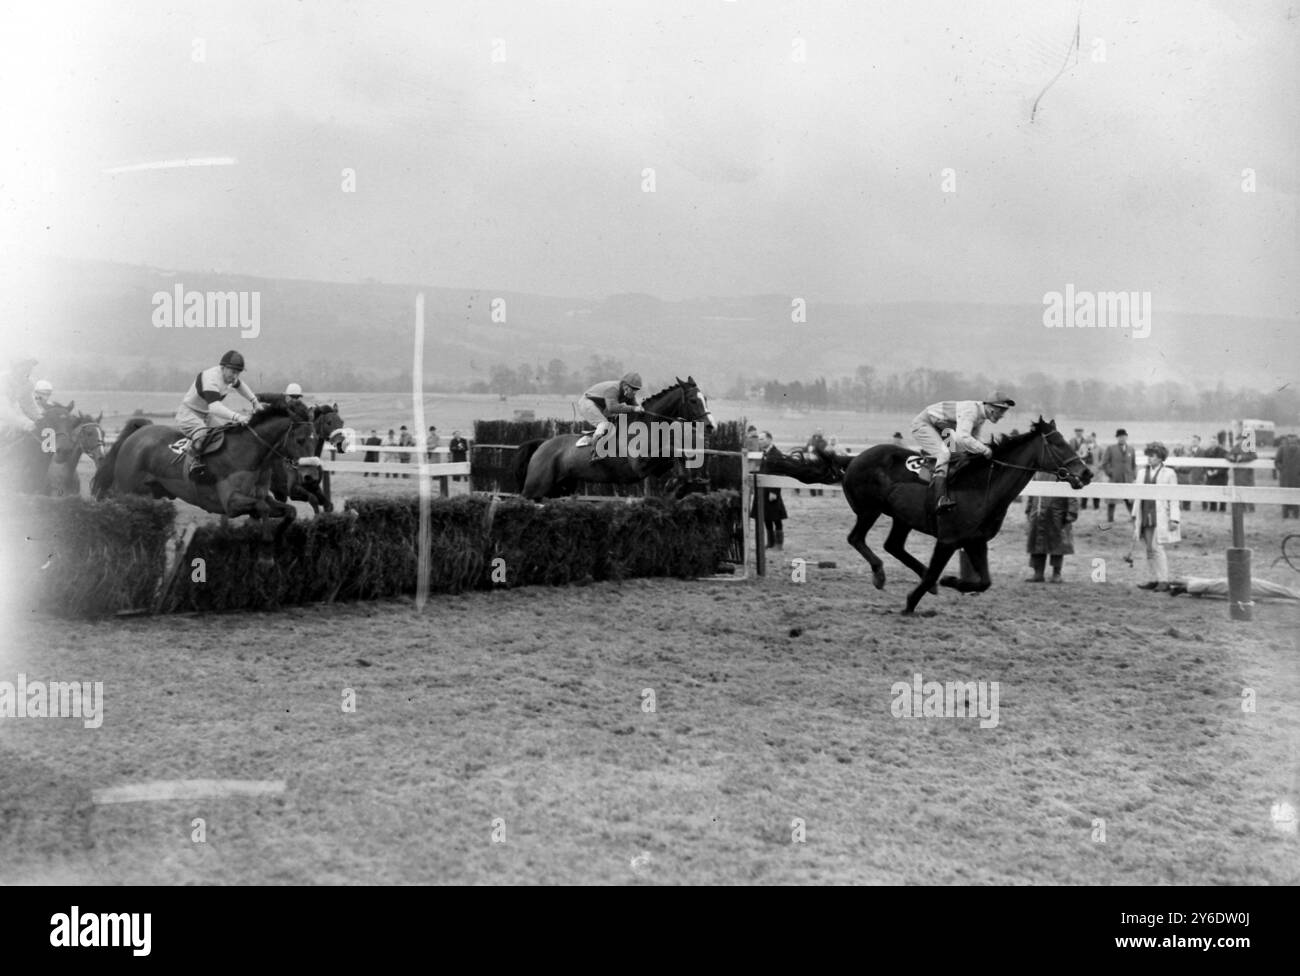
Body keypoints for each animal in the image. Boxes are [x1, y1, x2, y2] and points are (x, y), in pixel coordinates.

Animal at [92, 397, 317, 564]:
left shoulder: (262, 497)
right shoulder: (231, 503)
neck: (250, 453)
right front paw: (266, 555)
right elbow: (262, 508)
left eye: (316, 440)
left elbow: (289, 511)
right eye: (300, 440)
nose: (311, 477)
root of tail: (138, 431)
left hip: (149, 493)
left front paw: (279, 541)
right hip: (127, 489)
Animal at [512, 376, 717, 499]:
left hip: (561, 488)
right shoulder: (639, 466)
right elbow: (671, 451)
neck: (647, 425)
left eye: (706, 398)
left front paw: (678, 485)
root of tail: (542, 444)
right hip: (536, 487)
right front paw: (672, 485)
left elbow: (677, 456)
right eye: (693, 400)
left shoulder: (655, 467)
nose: (711, 425)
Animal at [842, 415, 1086, 613]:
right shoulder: (948, 540)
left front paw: (951, 581)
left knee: (893, 545)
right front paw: (910, 604)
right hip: (869, 510)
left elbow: (984, 582)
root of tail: (854, 459)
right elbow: (935, 572)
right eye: (1057, 443)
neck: (982, 486)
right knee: (856, 538)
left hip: (902, 518)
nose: (1087, 473)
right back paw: (880, 574)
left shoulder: (975, 540)